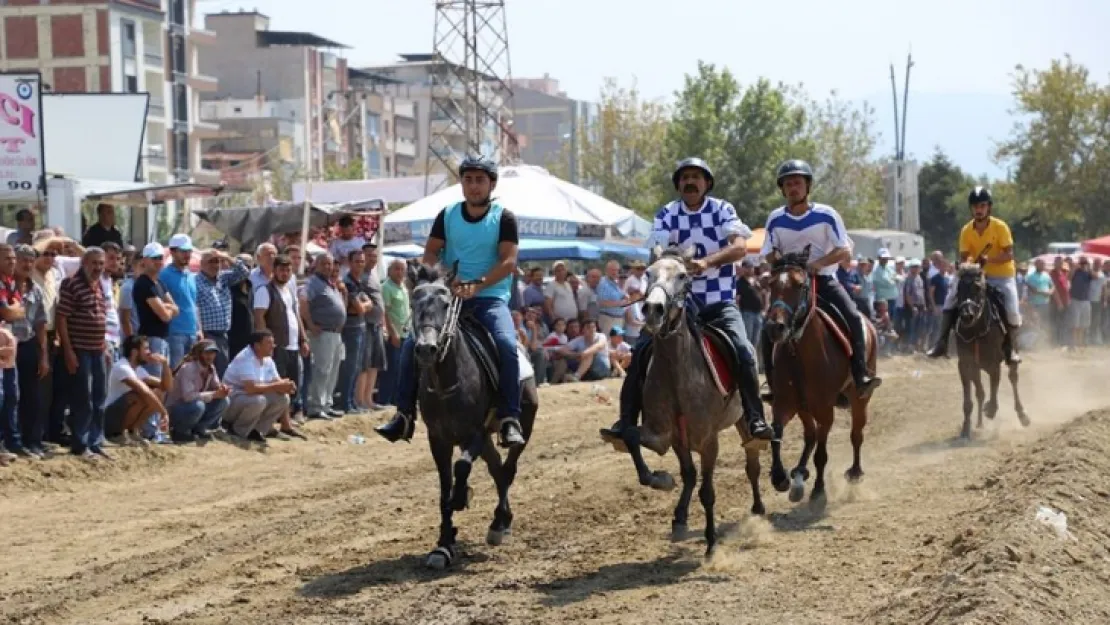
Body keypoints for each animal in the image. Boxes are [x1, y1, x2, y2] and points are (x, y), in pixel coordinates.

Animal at [412, 266, 541, 568]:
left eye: (446, 304)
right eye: (413, 303)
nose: (425, 348)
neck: (446, 382)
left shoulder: (476, 432)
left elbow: (461, 468)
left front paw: (462, 497)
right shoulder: (438, 439)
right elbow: (444, 487)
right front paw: (443, 545)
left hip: (525, 422)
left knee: (508, 469)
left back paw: (498, 523)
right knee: (497, 470)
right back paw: (501, 521)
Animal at [763, 248, 874, 508]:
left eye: (800, 284)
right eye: (770, 284)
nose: (775, 327)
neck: (798, 351)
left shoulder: (825, 410)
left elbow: (822, 454)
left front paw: (819, 489)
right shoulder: (785, 403)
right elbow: (776, 433)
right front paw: (780, 476)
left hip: (859, 398)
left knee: (856, 434)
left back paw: (854, 472)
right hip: (804, 407)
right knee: (810, 436)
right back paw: (799, 474)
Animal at [950, 264, 1025, 439]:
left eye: (977, 287)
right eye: (958, 288)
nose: (966, 316)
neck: (976, 330)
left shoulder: (993, 364)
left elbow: (994, 388)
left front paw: (990, 409)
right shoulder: (965, 365)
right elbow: (969, 400)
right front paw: (965, 429)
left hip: (1011, 355)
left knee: (1013, 379)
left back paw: (1022, 415)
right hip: (976, 368)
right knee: (980, 392)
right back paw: (979, 424)